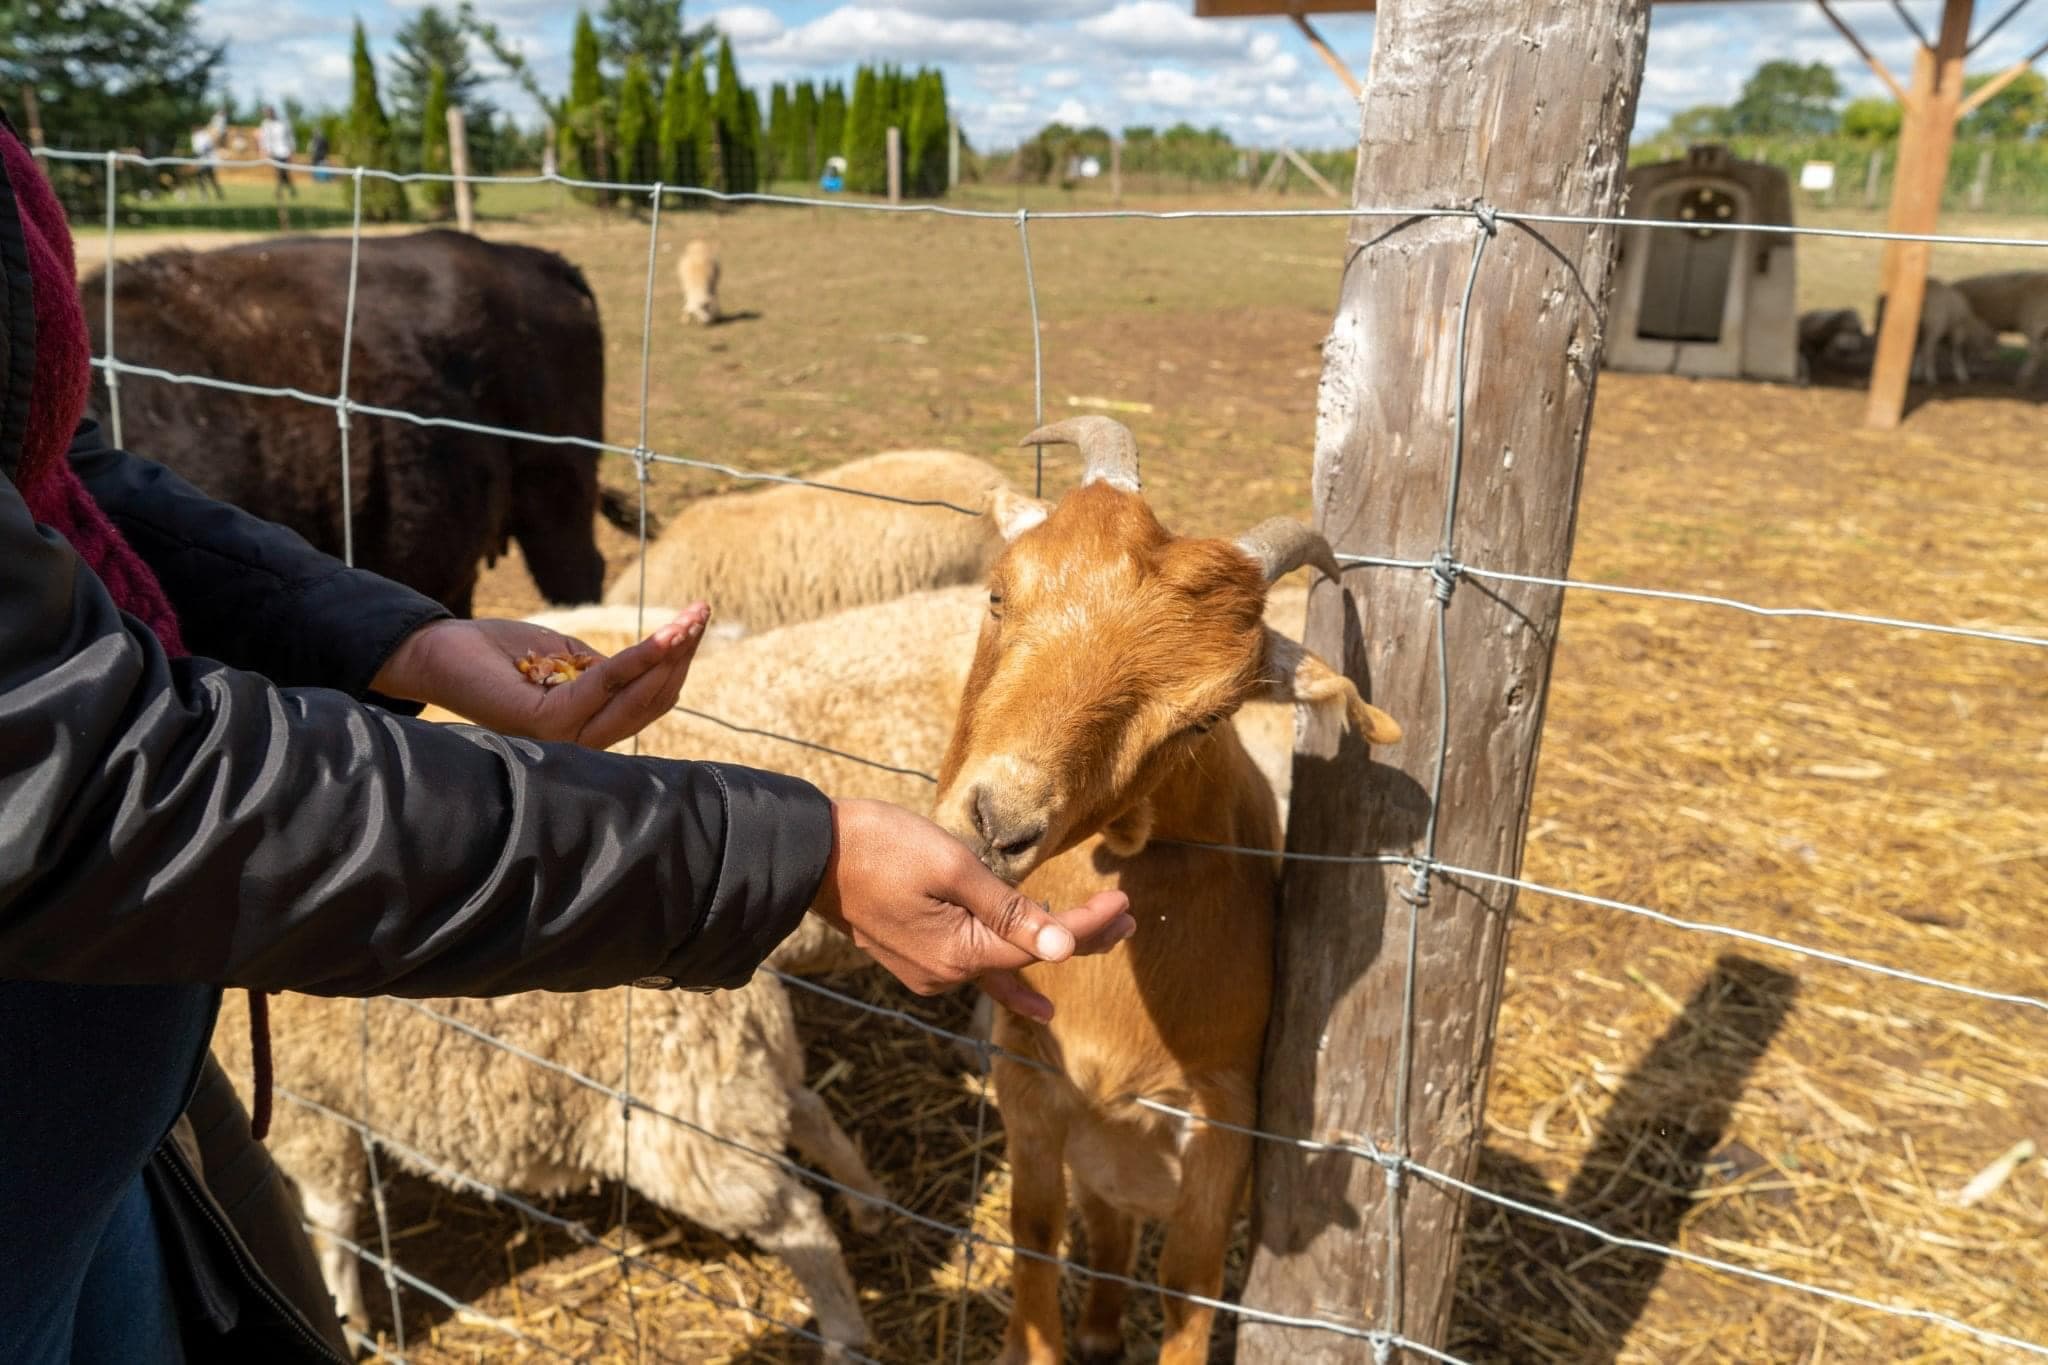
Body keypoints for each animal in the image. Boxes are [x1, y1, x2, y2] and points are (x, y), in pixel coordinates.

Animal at [211, 979, 886, 1353]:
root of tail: (753, 1001)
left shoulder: (310, 1112)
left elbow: (332, 1226)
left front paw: (348, 1318)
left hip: (690, 1133)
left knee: (800, 1223)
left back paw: (842, 1335)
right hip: (739, 1094)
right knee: (813, 1115)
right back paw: (869, 1204)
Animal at [930, 417, 1400, 1364]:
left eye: (1204, 719)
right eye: (997, 595)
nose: (997, 823)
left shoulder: (1221, 1109)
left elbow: (1191, 1280)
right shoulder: (1027, 1074)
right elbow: (1034, 1230)